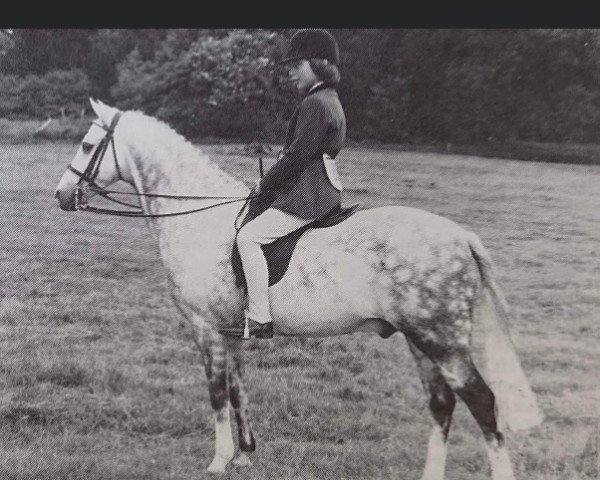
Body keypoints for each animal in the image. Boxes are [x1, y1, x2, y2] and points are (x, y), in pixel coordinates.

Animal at [55, 99, 544, 478]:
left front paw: (218, 460)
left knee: (482, 402)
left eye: (87, 145)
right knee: (442, 405)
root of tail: (461, 236)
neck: (200, 220)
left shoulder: (205, 329)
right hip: (422, 341)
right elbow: (238, 389)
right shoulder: (233, 333)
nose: (61, 196)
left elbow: (217, 395)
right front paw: (245, 456)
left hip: (442, 341)